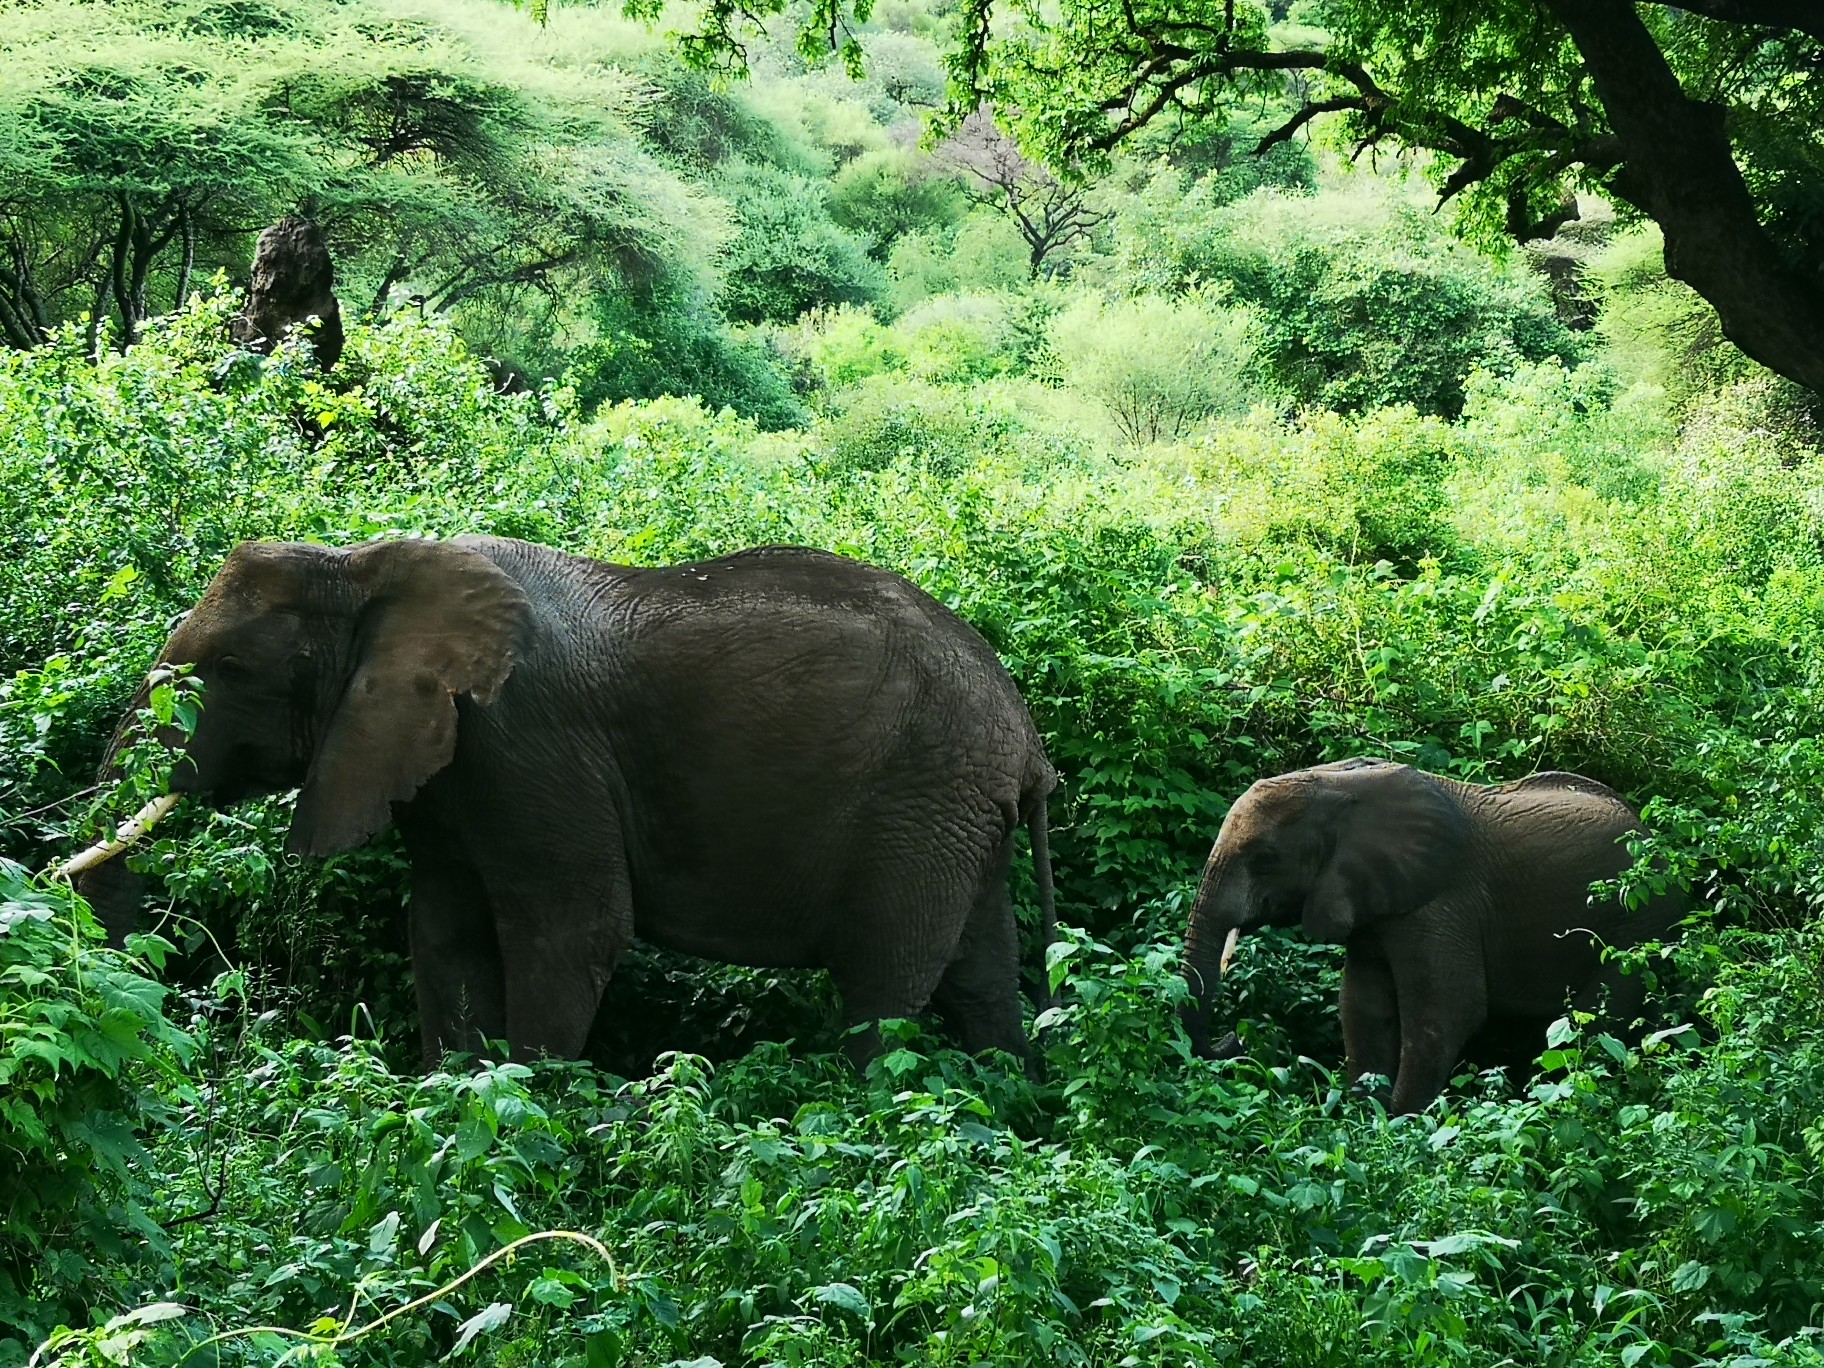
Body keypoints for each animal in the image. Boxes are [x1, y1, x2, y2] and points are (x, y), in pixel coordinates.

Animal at [82, 536, 1057, 1072]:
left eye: (232, 672)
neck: (362, 565)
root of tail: (1026, 739)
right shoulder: (450, 771)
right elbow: (445, 935)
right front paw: (451, 1098)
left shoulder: (524, 744)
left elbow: (573, 929)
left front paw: (530, 1104)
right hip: (960, 815)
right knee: (979, 976)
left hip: (923, 802)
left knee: (884, 989)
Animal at [1181, 762, 1678, 1116]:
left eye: (1264, 859)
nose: (1235, 1039)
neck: (1334, 786)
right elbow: (1361, 1007)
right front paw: (1361, 1120)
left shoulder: (1441, 903)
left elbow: (1446, 1013)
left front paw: (1402, 1126)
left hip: (1638, 927)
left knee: (1596, 1022)